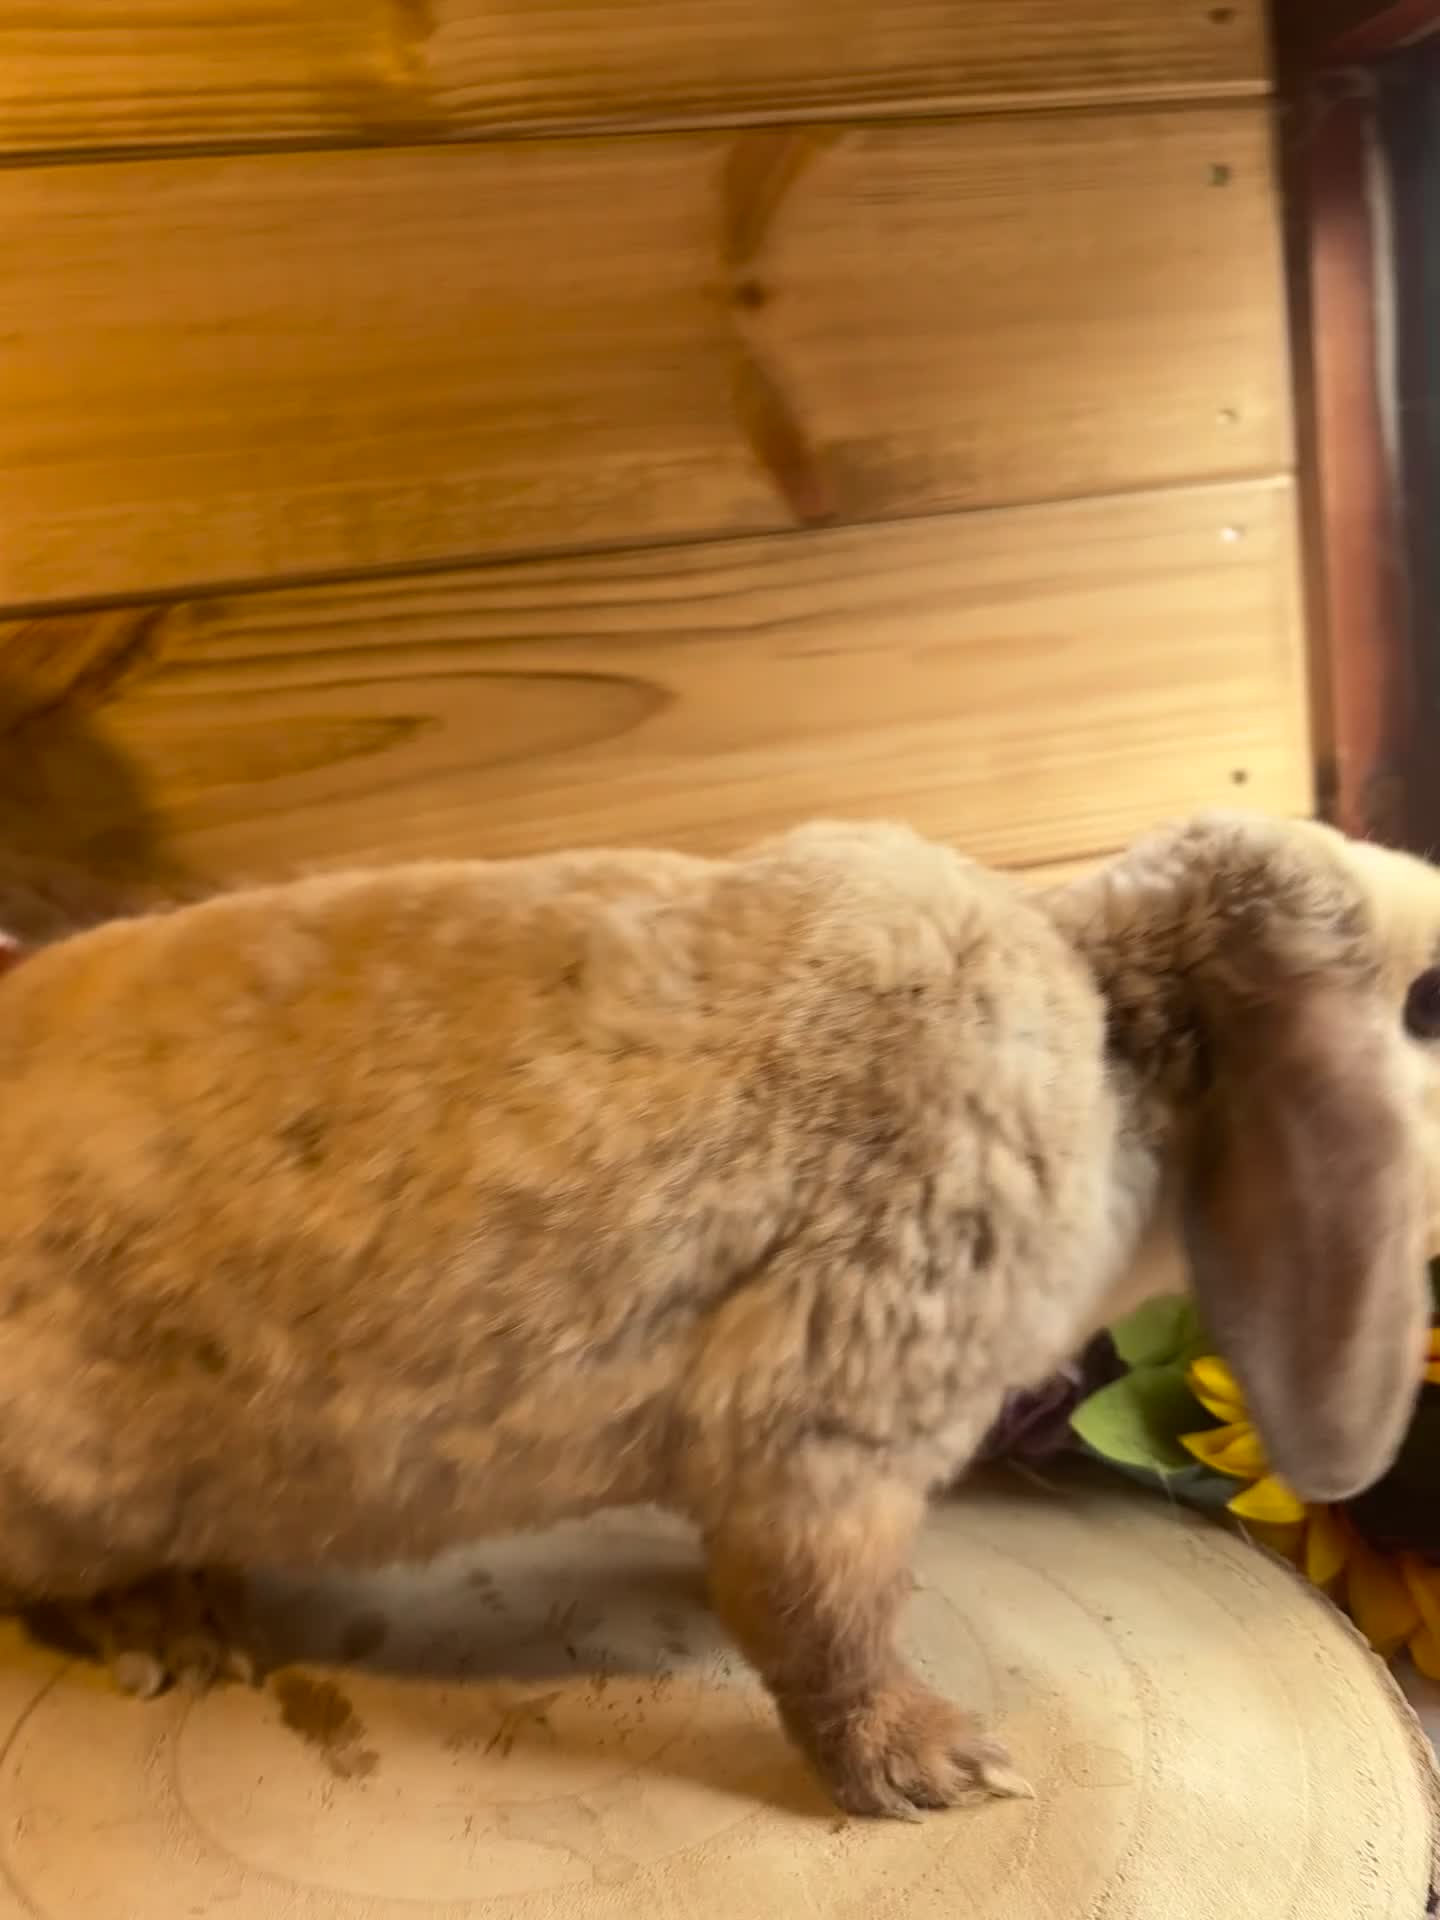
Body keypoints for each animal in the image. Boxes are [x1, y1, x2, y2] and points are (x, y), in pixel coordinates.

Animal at [0, 808, 1435, 1820]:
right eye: (1426, 1003)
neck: (1105, 1033)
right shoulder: (825, 1441)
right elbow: (827, 1633)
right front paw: (939, 1769)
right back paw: (170, 1632)